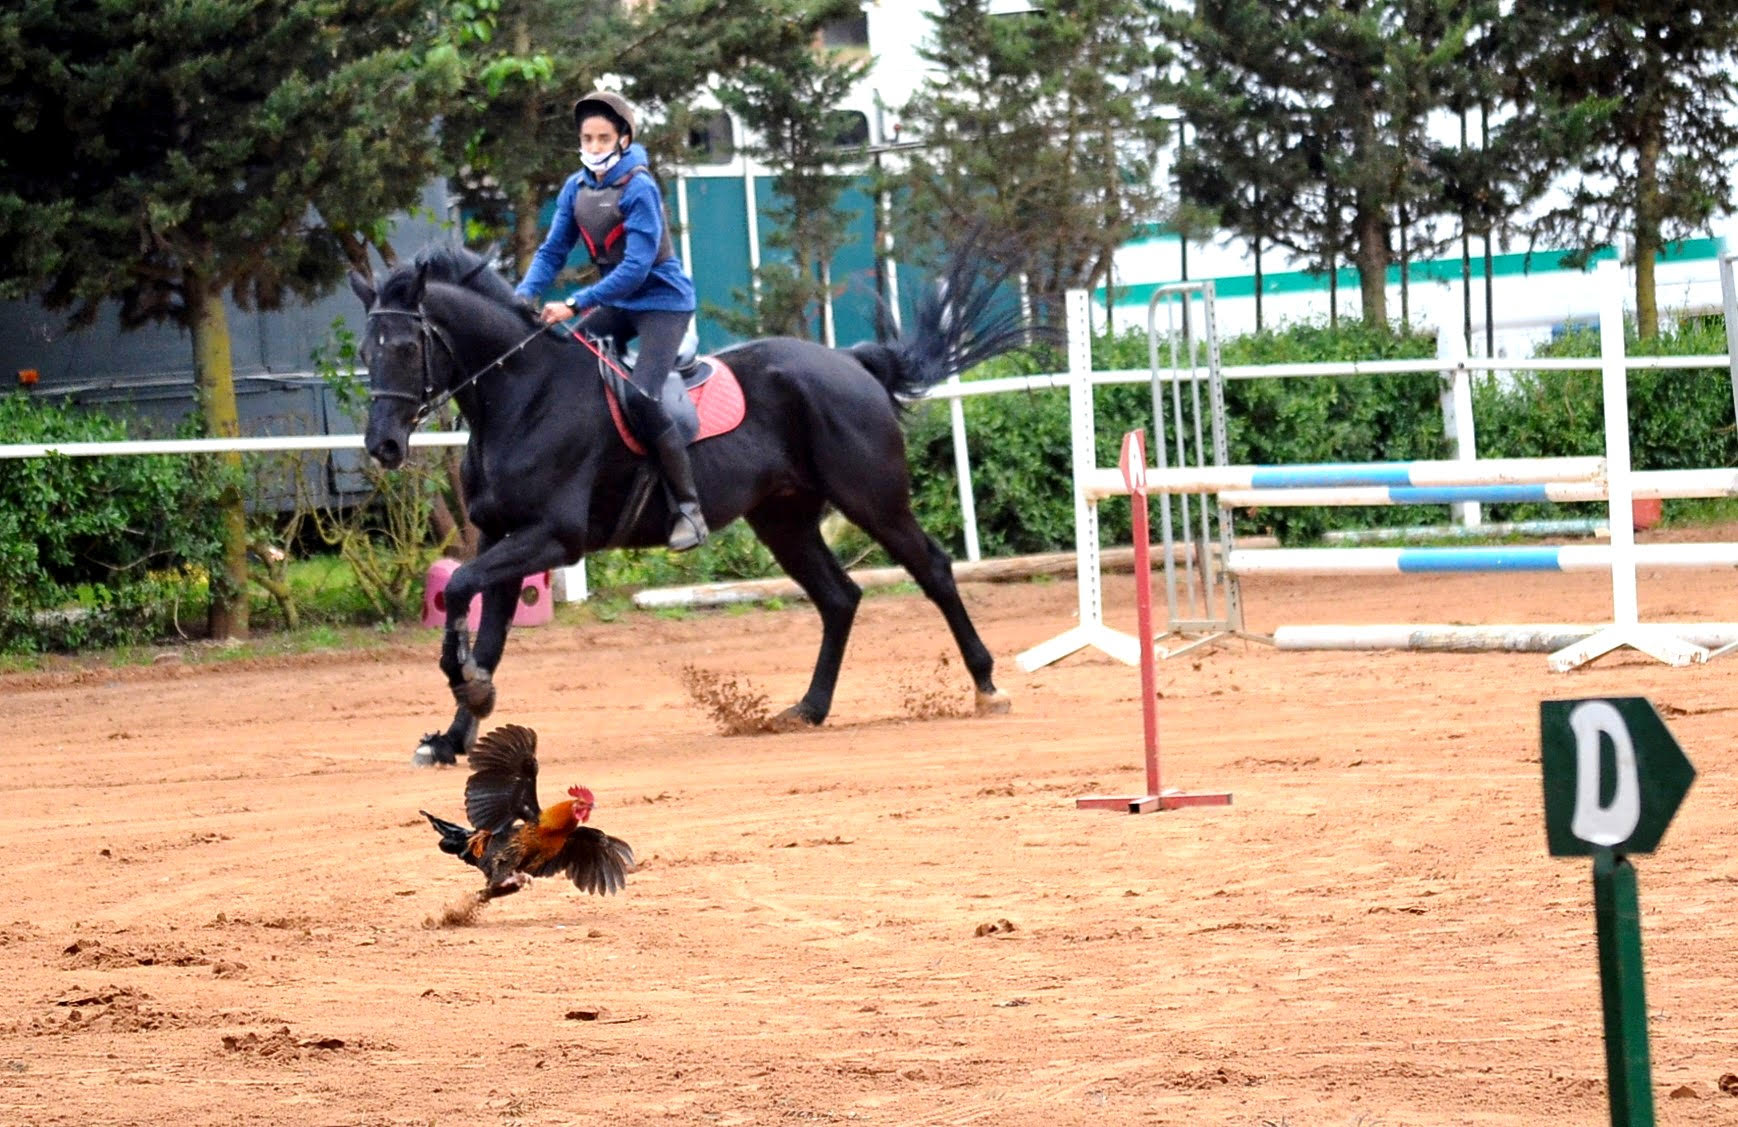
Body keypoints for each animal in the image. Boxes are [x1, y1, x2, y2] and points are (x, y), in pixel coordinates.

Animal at [345, 241, 1035, 761]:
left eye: (404, 348)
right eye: (363, 351)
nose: (382, 445)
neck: (521, 395)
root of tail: (850, 361)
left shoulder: (552, 538)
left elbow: (461, 589)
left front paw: (469, 691)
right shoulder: (501, 537)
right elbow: (486, 633)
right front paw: (455, 732)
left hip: (873, 500)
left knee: (933, 570)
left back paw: (986, 685)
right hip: (783, 519)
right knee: (839, 598)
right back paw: (808, 709)